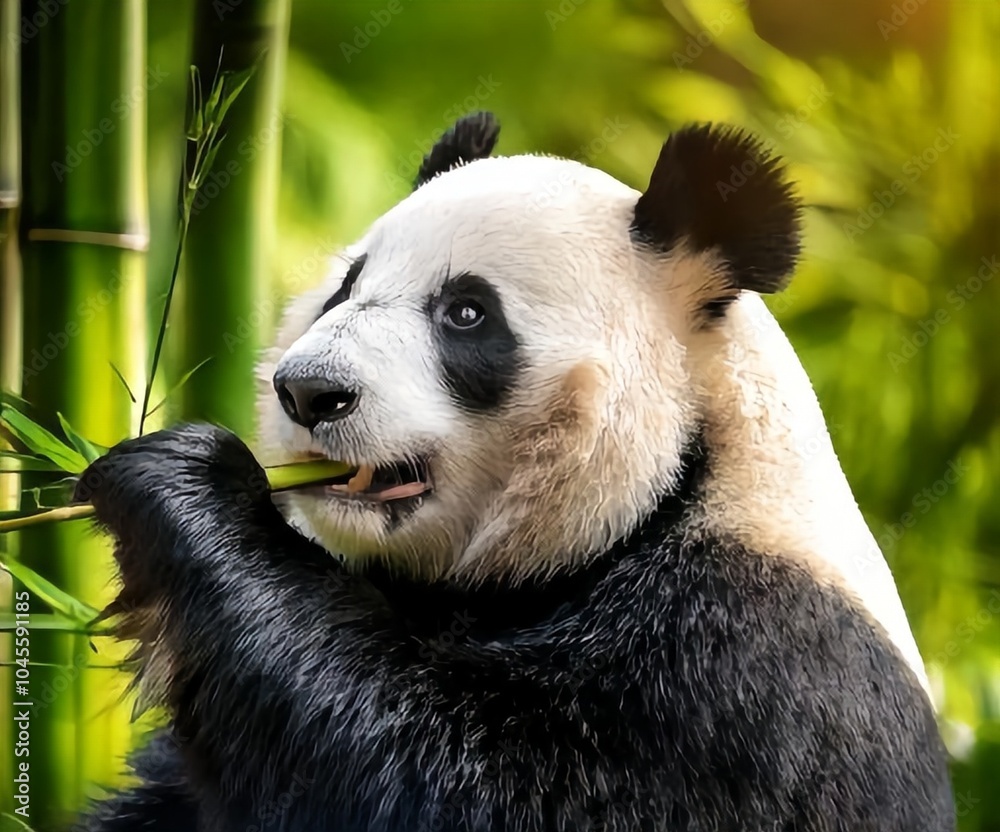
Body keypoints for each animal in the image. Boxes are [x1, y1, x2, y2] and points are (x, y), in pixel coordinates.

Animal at [76, 112, 954, 831]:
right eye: (345, 288)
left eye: (467, 313)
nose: (310, 392)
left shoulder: (742, 675)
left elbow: (460, 786)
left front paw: (183, 482)